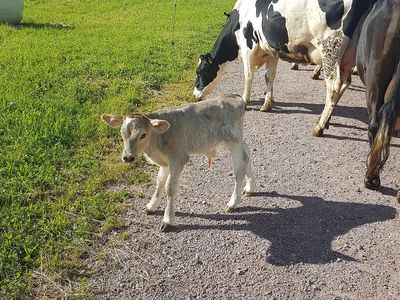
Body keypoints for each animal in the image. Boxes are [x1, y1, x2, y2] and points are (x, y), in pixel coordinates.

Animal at [101, 95, 255, 231]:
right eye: (122, 133)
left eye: (143, 135)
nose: (128, 157)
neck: (157, 141)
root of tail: (235, 97)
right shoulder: (165, 163)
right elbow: (159, 182)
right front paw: (152, 206)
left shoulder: (178, 159)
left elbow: (169, 188)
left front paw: (168, 220)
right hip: (237, 140)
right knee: (247, 151)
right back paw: (249, 188)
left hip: (232, 140)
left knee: (240, 166)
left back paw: (233, 203)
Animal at [194, 0, 376, 136]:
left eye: (199, 72)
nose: (195, 95)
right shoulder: (271, 51)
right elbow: (269, 76)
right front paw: (267, 103)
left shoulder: (248, 48)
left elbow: (248, 75)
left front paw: (245, 101)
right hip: (348, 57)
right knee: (345, 83)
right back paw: (323, 119)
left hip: (330, 48)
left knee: (333, 86)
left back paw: (320, 126)